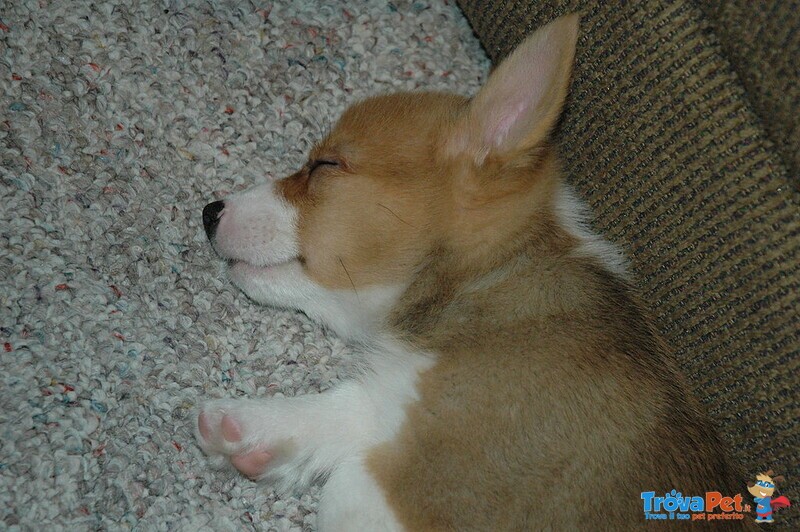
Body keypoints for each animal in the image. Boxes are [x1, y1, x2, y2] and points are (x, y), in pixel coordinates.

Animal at [197, 14, 740, 528]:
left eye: (325, 165)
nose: (209, 212)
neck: (489, 273)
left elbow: (347, 481)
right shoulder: (403, 394)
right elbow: (352, 405)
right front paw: (244, 427)